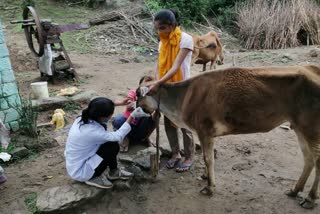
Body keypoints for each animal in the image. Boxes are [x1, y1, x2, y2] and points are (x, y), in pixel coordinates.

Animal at [138, 64, 320, 208]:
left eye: (138, 96)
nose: (139, 109)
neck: (184, 98)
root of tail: (312, 68)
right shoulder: (206, 134)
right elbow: (207, 156)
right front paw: (205, 176)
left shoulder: (205, 131)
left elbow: (208, 159)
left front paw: (209, 187)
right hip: (299, 128)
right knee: (308, 160)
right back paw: (295, 190)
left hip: (311, 129)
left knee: (317, 161)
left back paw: (310, 199)